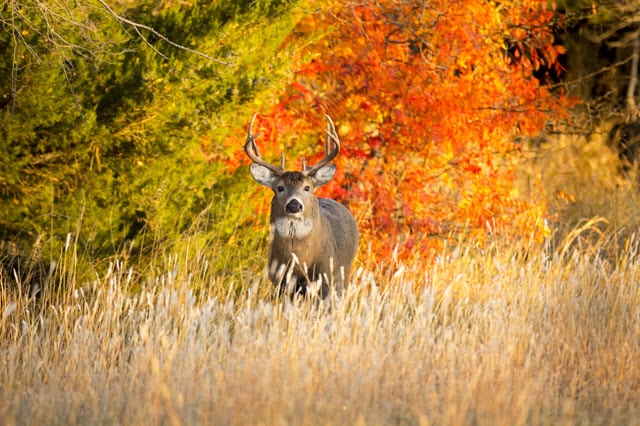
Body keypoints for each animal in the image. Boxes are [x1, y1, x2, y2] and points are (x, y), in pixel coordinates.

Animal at [244, 114, 358, 300]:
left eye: (307, 187)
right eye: (279, 187)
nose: (294, 205)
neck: (298, 260)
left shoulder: (324, 275)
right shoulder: (280, 279)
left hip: (343, 273)